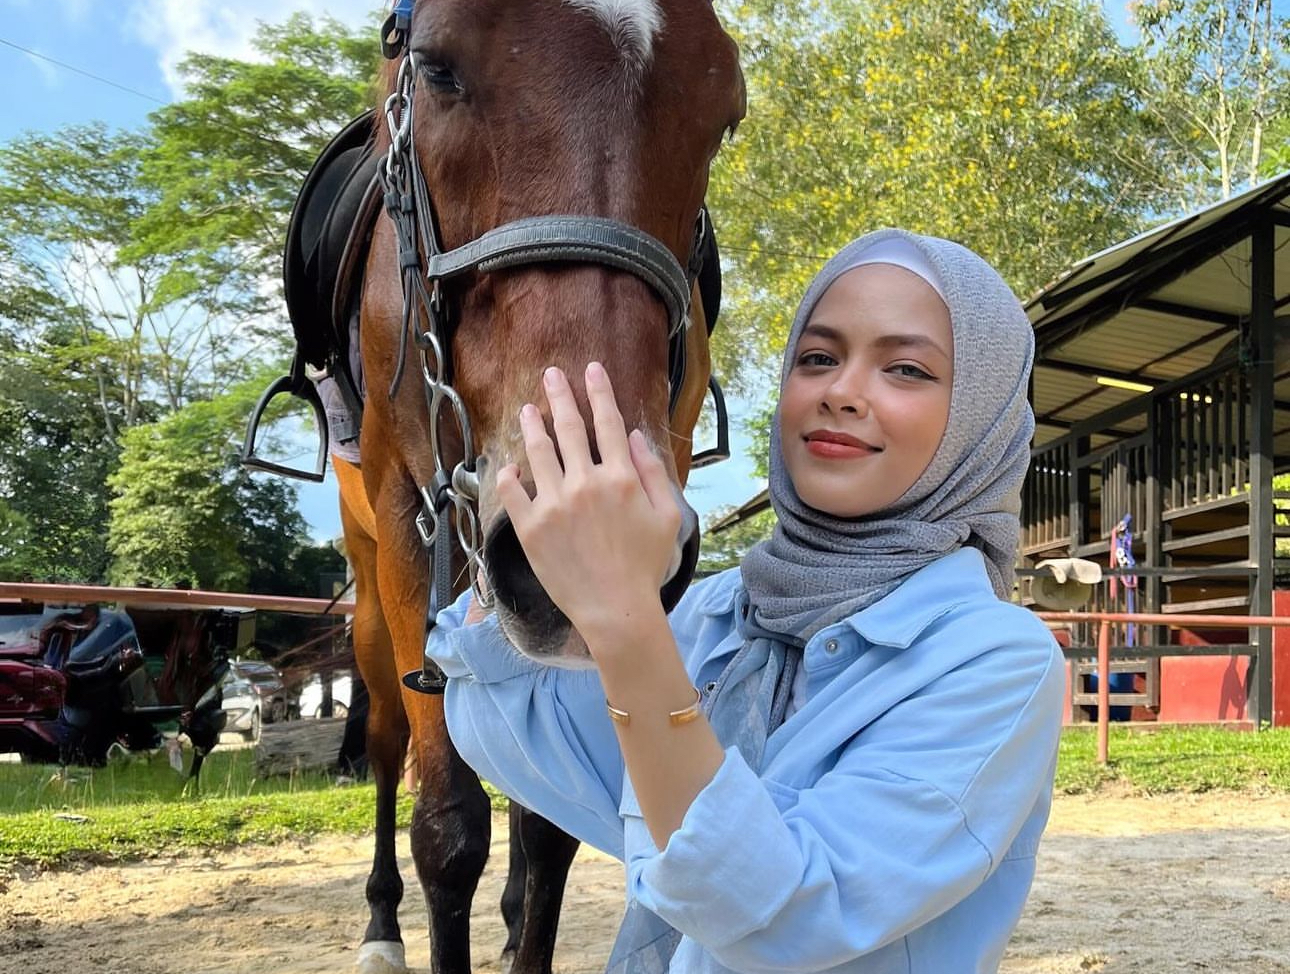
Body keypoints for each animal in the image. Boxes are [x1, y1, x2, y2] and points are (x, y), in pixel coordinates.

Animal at [247, 1, 748, 974]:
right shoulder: (414, 521)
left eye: (725, 112)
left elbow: (546, 827)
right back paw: (379, 925)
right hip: (372, 586)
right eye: (437, 66)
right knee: (383, 740)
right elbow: (447, 825)